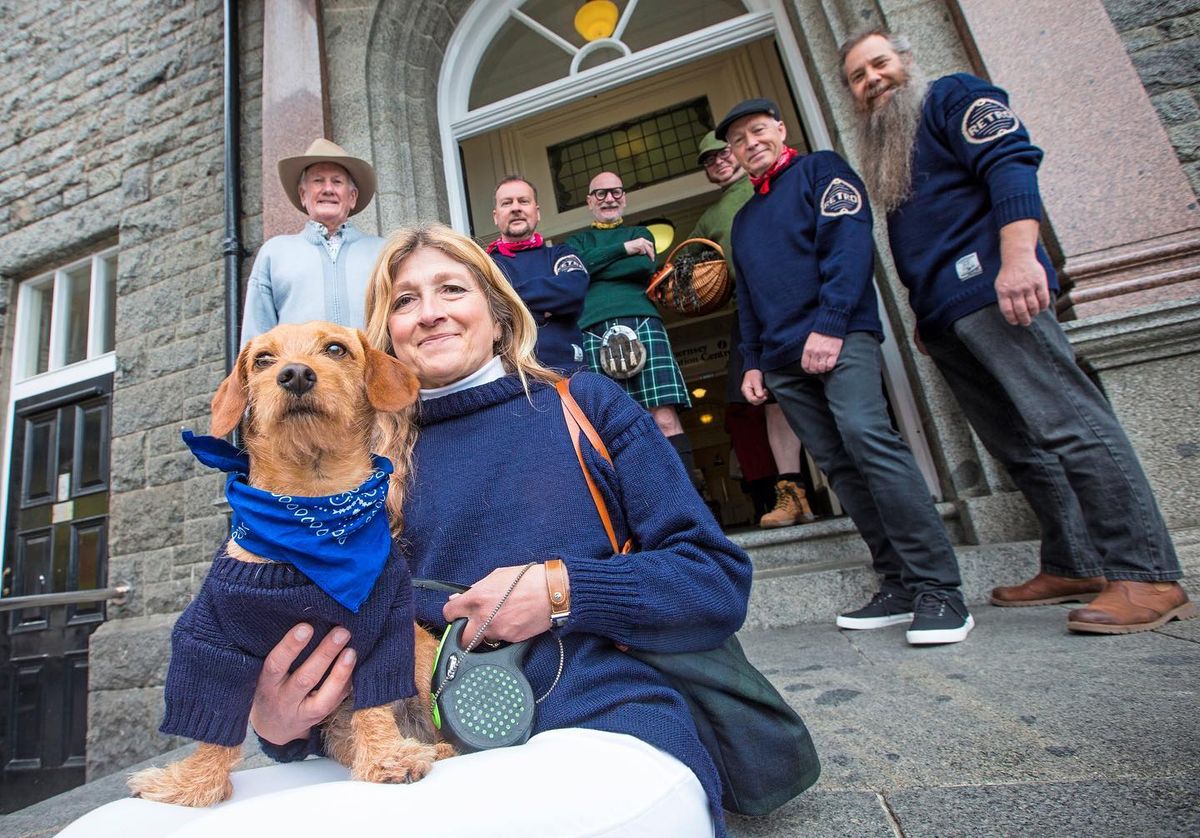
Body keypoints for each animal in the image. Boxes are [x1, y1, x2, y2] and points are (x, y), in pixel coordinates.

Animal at [127, 319, 451, 801]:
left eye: (335, 349)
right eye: (263, 359)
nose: (295, 374)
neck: (313, 508)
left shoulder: (386, 633)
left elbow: (375, 705)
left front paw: (388, 758)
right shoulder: (210, 640)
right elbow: (212, 722)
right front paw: (191, 784)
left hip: (423, 665)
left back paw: (436, 748)